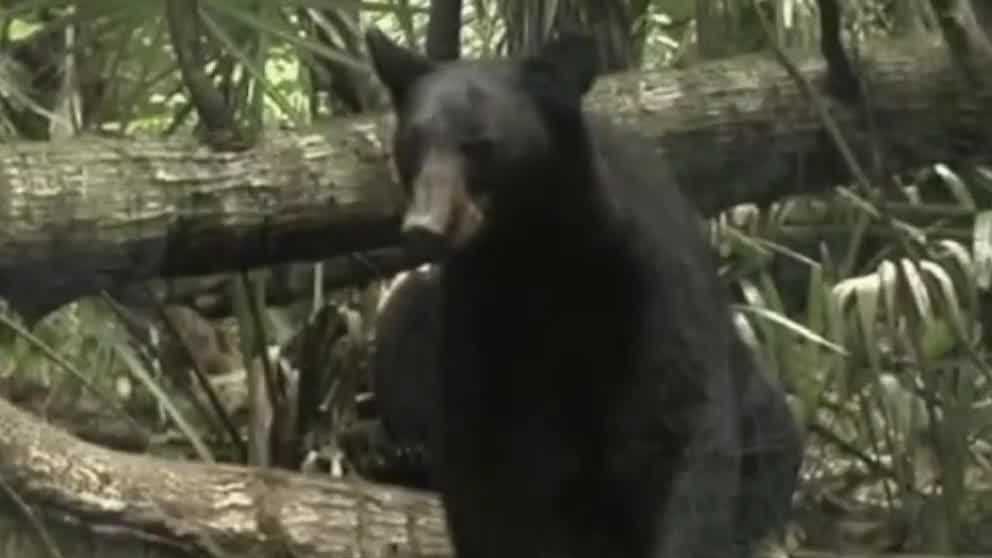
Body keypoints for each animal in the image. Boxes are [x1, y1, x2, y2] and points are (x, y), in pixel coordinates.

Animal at [365, 28, 801, 558]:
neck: (540, 251)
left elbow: (684, 425)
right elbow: (482, 460)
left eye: (479, 145)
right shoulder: (478, 310)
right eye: (411, 142)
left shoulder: (648, 280)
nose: (424, 227)